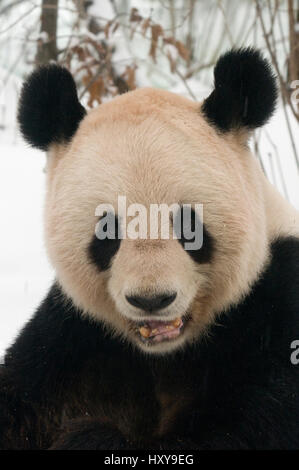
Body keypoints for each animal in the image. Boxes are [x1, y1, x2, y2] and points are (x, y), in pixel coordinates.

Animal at [0, 49, 299, 450]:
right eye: (107, 230)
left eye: (189, 226)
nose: (151, 299)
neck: (166, 354)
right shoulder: (74, 339)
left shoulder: (276, 305)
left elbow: (244, 427)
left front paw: (89, 438)